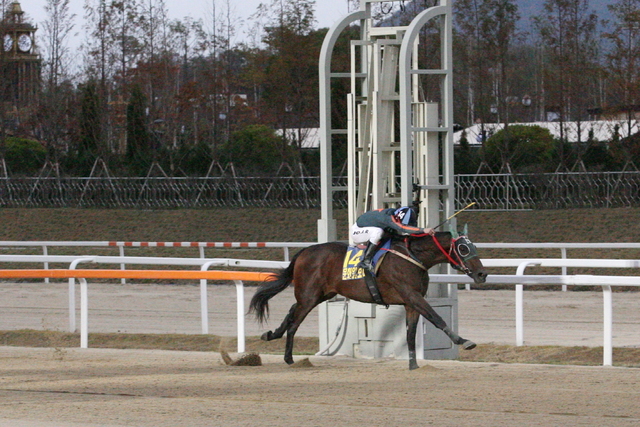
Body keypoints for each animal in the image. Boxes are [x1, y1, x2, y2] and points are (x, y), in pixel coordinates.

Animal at [248, 232, 488, 370]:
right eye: (463, 248)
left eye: (474, 247)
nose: (482, 274)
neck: (413, 257)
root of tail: (304, 251)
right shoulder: (412, 295)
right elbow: (436, 317)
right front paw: (464, 340)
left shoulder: (411, 302)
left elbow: (411, 333)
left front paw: (413, 364)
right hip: (309, 296)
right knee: (295, 320)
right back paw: (289, 358)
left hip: (320, 294)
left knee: (291, 310)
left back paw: (271, 335)